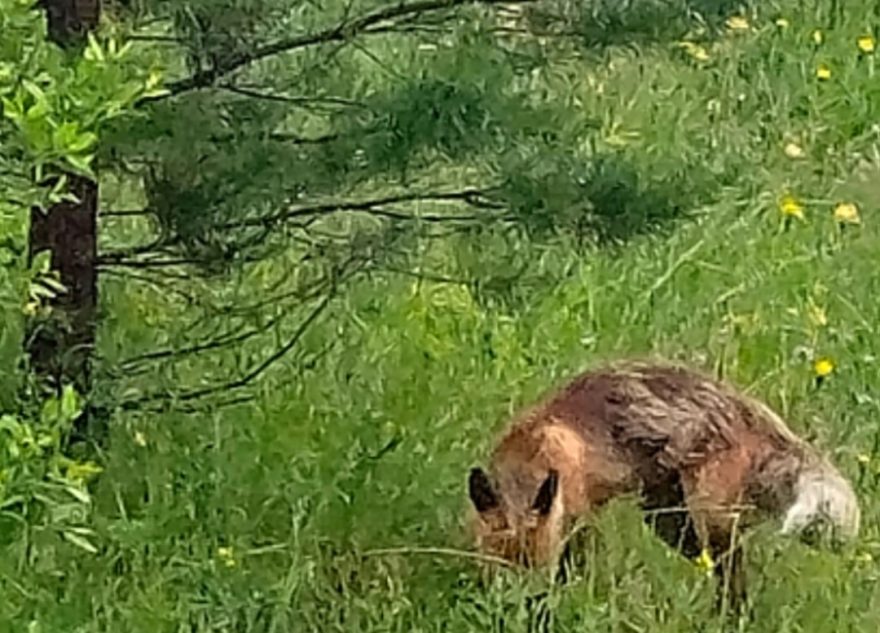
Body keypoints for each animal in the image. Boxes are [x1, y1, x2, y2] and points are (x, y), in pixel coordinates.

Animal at [467, 360, 860, 610]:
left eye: (535, 569)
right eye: (500, 571)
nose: (522, 606)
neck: (532, 451)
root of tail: (743, 407)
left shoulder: (579, 517)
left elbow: (575, 567)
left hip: (707, 519)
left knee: (734, 581)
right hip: (668, 521)